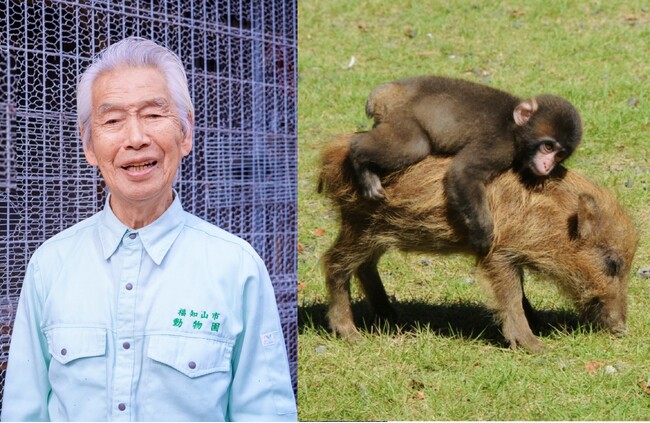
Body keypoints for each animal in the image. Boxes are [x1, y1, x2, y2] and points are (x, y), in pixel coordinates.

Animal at [349, 75, 583, 256]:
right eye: (548, 147)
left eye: (559, 154)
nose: (547, 165)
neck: (514, 127)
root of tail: (386, 91)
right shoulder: (499, 144)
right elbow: (463, 172)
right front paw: (483, 233)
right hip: (400, 115)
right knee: (413, 146)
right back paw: (360, 159)